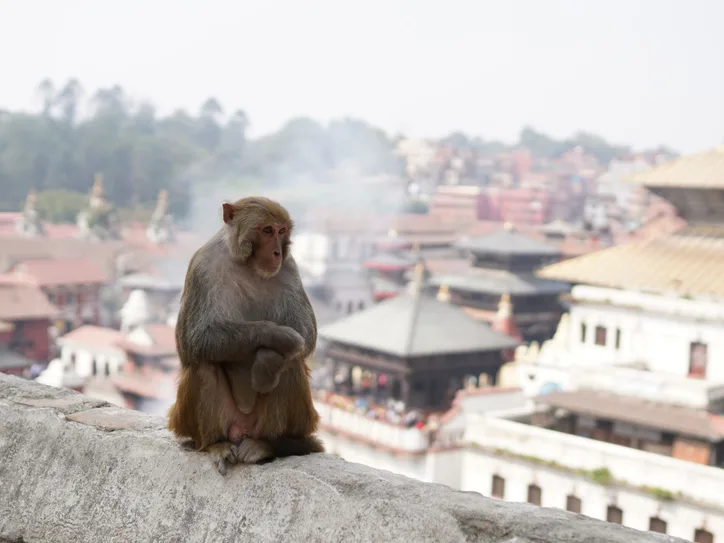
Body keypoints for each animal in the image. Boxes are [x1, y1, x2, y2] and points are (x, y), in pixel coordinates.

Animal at [167, 196, 324, 474]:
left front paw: (268, 360)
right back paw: (216, 444)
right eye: (267, 230)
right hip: (193, 423)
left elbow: (306, 331)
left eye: (281, 231)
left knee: (291, 363)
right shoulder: (202, 267)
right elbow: (193, 339)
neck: (246, 264)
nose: (277, 252)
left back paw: (268, 444)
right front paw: (278, 337)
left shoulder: (289, 268)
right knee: (204, 363)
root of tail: (242, 432)